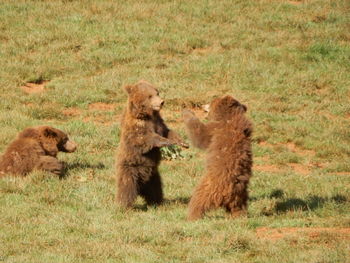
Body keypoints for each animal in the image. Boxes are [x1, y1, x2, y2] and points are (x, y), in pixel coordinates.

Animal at [116, 81, 189, 210]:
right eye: (150, 96)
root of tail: (141, 186)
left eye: (157, 92)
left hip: (153, 176)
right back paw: (124, 206)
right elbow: (145, 139)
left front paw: (182, 142)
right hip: (130, 169)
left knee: (155, 189)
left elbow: (167, 131)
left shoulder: (159, 122)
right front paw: (166, 142)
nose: (161, 101)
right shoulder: (138, 126)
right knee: (126, 187)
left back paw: (157, 202)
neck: (147, 115)